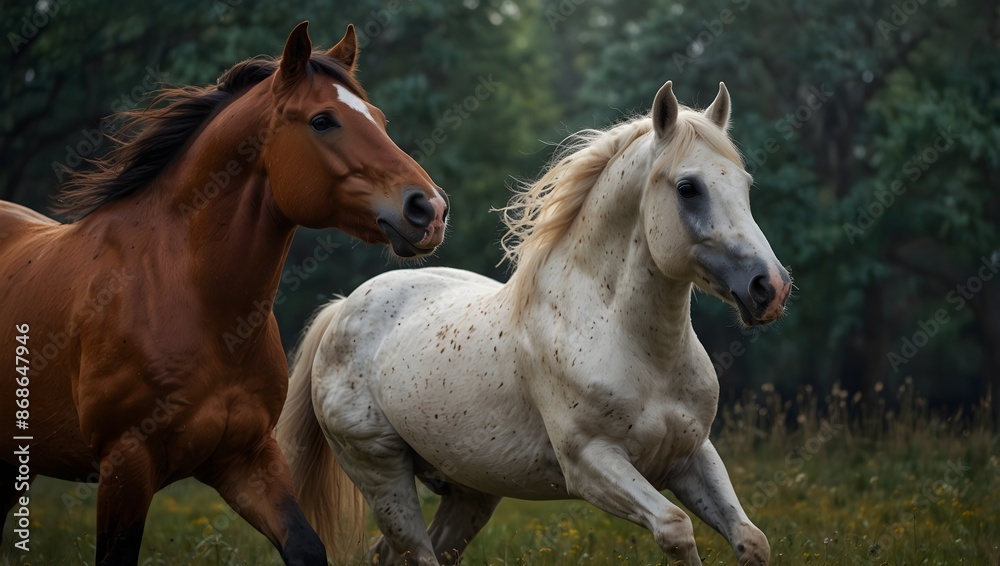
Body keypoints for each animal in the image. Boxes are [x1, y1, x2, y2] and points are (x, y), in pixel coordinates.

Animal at [0, 22, 448, 566]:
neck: (190, 299)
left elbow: (304, 544)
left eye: (380, 119)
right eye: (322, 121)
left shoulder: (246, 457)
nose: (429, 209)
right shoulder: (125, 464)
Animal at [278, 80, 790, 565]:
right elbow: (675, 528)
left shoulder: (691, 455)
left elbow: (752, 540)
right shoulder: (592, 464)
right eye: (688, 188)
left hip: (472, 490)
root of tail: (343, 308)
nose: (770, 288)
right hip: (382, 474)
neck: (638, 347)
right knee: (417, 553)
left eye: (745, 184)